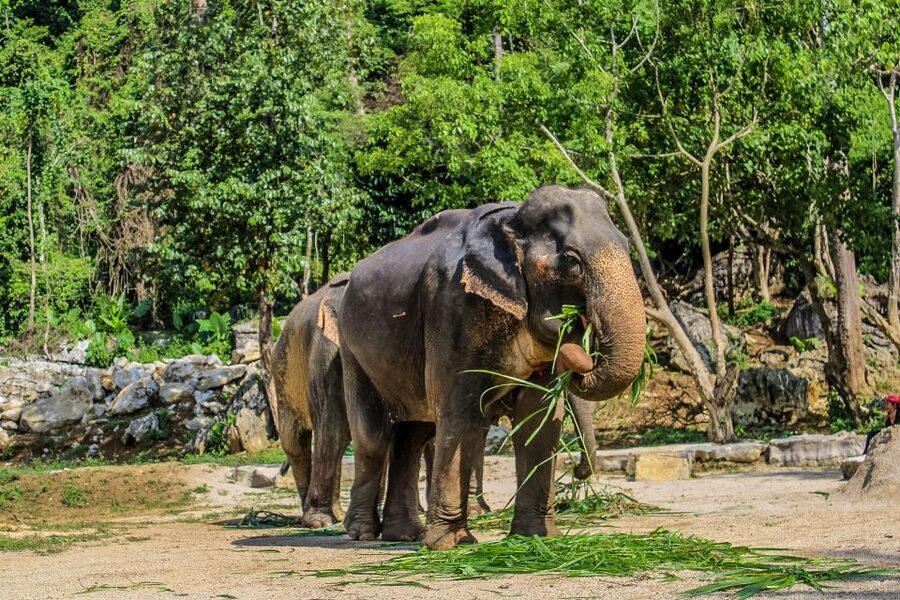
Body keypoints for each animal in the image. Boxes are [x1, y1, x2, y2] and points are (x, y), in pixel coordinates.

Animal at [336, 185, 645, 549]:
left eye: (627, 246)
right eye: (571, 260)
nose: (579, 471)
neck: (511, 221)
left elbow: (539, 419)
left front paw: (535, 537)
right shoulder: (452, 306)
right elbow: (461, 411)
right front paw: (452, 544)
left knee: (412, 433)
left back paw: (404, 534)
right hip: (351, 347)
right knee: (374, 436)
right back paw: (362, 533)